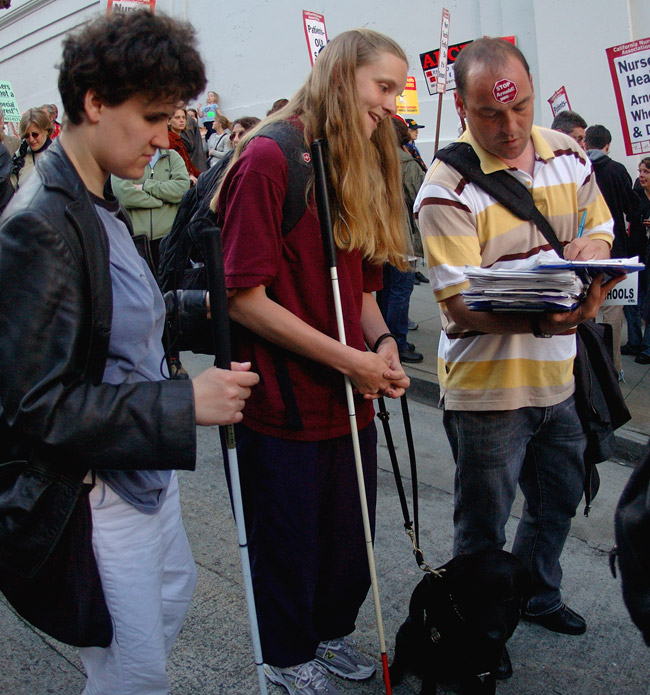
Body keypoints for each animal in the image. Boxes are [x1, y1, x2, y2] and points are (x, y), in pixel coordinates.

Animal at [388, 548, 528, 695]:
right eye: (476, 594)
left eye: (510, 595)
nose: (493, 636)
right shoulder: (434, 637)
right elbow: (429, 677)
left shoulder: (495, 648)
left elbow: (490, 680)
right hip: (407, 631)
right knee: (401, 655)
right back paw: (393, 672)